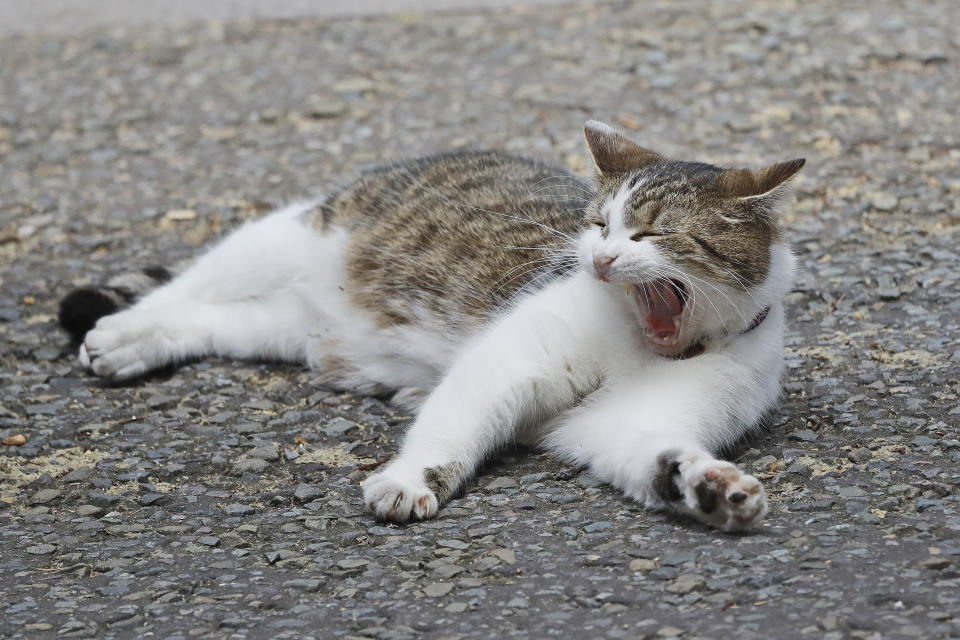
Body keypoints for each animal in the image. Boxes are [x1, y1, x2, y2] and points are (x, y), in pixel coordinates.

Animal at [58, 120, 804, 528]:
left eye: (650, 234)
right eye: (599, 225)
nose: (598, 257)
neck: (648, 346)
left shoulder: (630, 420)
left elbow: (649, 448)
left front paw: (709, 488)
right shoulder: (508, 360)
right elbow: (453, 424)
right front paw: (412, 479)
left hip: (283, 327)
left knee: (212, 321)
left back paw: (141, 344)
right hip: (282, 239)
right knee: (186, 286)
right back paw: (125, 329)